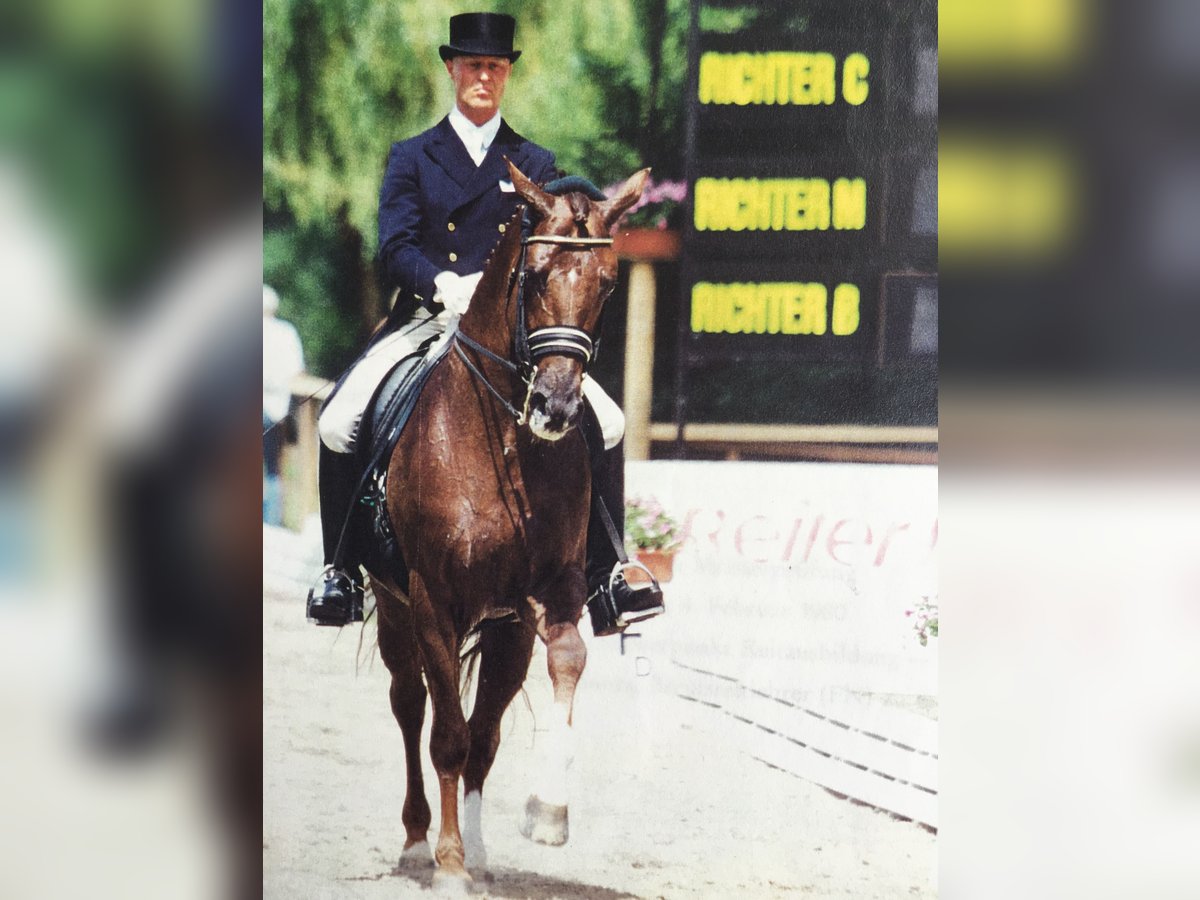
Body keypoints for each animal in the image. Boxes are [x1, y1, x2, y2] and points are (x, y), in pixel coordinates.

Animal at [369, 164, 648, 897]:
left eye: (608, 283)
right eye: (535, 275)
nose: (556, 407)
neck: (504, 443)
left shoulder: (548, 595)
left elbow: (563, 667)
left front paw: (547, 813)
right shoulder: (433, 600)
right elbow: (446, 735)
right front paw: (448, 864)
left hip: (503, 628)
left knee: (485, 731)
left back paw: (480, 848)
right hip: (393, 604)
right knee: (411, 706)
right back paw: (418, 843)